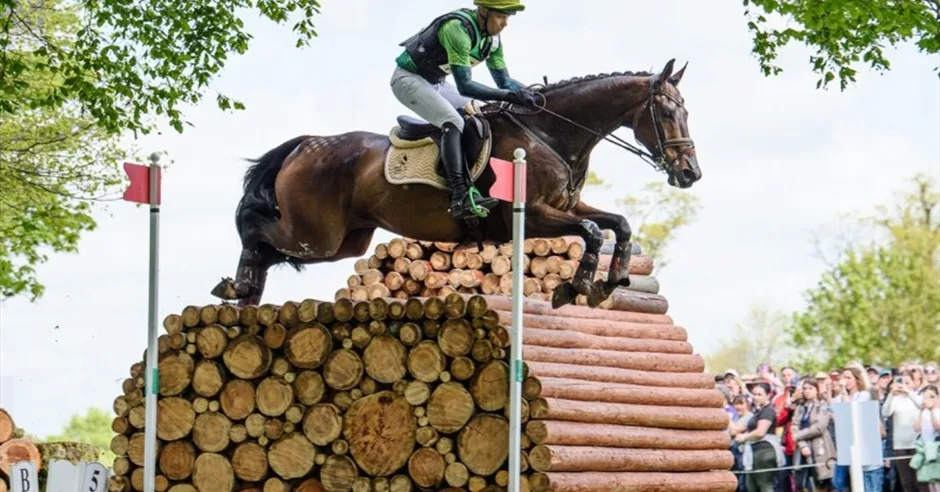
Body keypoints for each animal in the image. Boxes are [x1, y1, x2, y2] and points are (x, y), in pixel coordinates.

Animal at [210, 58, 701, 309]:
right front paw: (577, 286)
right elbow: (594, 232)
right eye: (667, 112)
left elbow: (617, 224)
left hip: (347, 240)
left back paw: (246, 291)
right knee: (255, 226)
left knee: (271, 247)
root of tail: (306, 144)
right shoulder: (531, 216)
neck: (550, 133)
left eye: (685, 111)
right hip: (317, 234)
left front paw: (609, 282)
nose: (690, 173)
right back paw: (238, 285)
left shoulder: (567, 208)